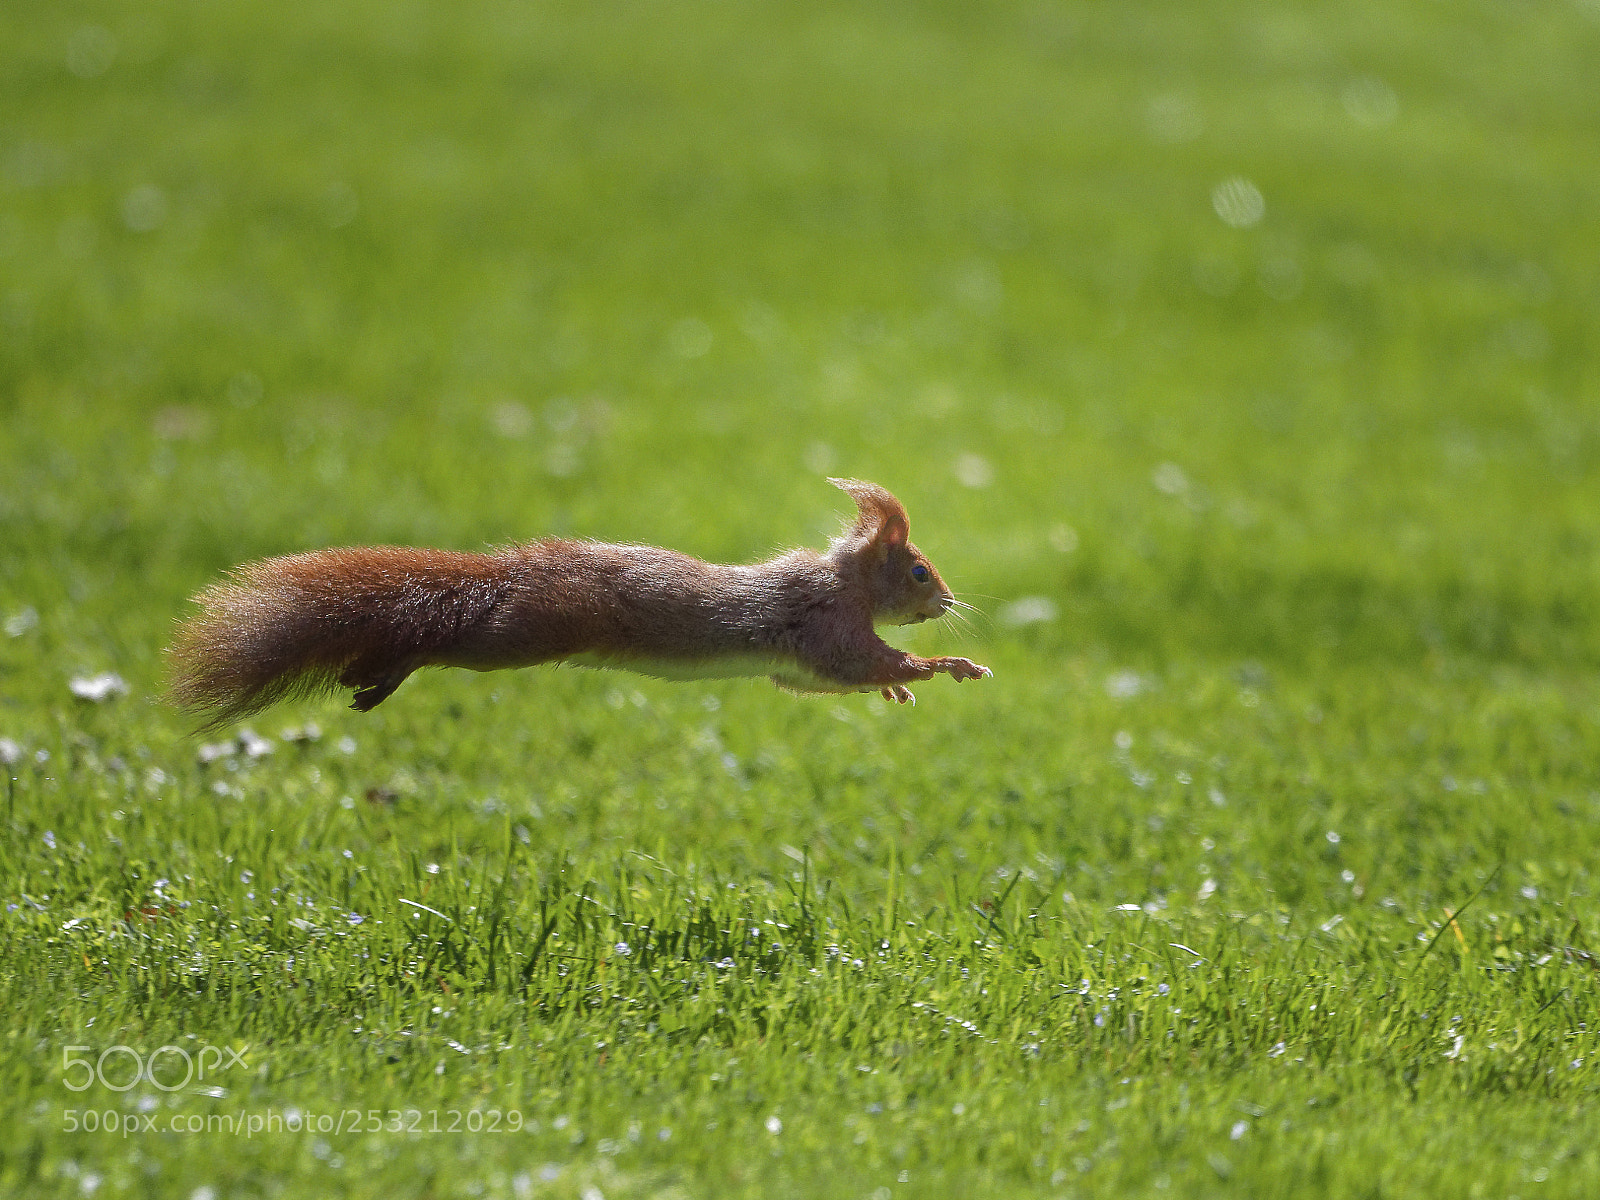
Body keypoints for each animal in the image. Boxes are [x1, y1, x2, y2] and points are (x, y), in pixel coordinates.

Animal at [167, 478, 991, 729]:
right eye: (919, 571)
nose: (949, 599)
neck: (843, 581)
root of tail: (515, 571)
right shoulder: (824, 623)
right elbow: (856, 661)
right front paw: (946, 665)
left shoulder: (801, 661)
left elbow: (815, 679)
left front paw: (900, 685)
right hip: (520, 633)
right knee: (443, 640)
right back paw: (382, 674)